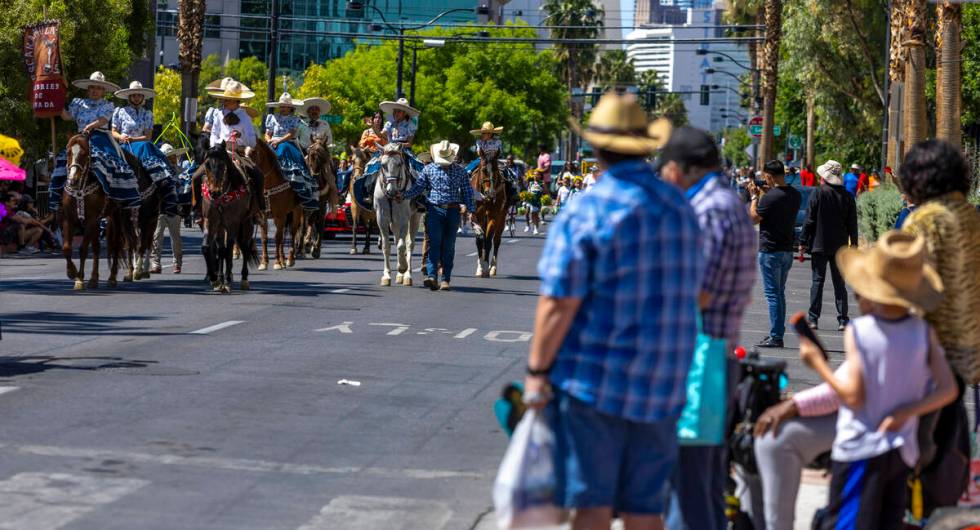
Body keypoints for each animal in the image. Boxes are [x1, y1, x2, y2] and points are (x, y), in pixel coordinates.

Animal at [200, 142, 256, 290]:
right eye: (207, 164)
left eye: (222, 164)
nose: (214, 192)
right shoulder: (210, 221)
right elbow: (208, 248)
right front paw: (215, 280)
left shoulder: (233, 223)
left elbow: (229, 249)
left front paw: (228, 281)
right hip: (221, 226)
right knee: (221, 248)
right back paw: (220, 278)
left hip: (246, 223)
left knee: (245, 247)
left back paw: (243, 279)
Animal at [249, 138, 302, 270]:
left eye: (252, 151)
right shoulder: (263, 215)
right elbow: (265, 238)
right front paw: (264, 262)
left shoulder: (281, 215)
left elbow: (277, 238)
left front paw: (277, 263)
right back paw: (283, 259)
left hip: (296, 212)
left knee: (292, 233)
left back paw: (289, 260)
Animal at [376, 142, 422, 284]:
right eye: (383, 165)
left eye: (400, 164)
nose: (391, 191)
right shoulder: (382, 219)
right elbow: (386, 246)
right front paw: (386, 276)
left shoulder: (403, 219)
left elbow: (402, 245)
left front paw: (402, 267)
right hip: (393, 222)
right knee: (397, 241)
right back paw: (399, 276)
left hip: (414, 217)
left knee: (409, 244)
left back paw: (407, 275)